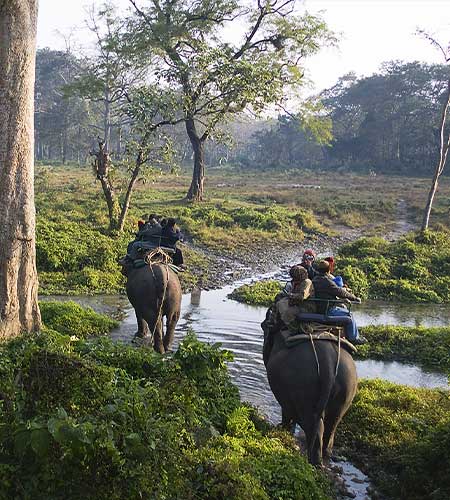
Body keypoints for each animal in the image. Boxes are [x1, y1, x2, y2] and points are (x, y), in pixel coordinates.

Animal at [264, 326, 356, 466]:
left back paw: (314, 462)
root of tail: (327, 362)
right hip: (347, 386)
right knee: (332, 424)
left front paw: (283, 428)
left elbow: (286, 411)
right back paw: (325, 457)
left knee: (314, 426)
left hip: (304, 386)